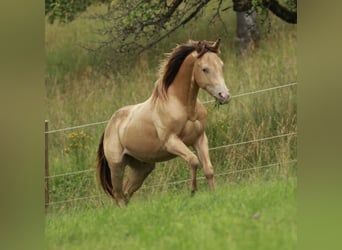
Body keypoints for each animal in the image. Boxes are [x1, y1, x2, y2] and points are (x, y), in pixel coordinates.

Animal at [95, 39, 230, 207]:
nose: (224, 96)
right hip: (117, 167)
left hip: (142, 167)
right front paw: (193, 191)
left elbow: (209, 170)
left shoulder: (199, 139)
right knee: (118, 195)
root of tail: (109, 127)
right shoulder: (171, 142)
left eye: (221, 65)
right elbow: (193, 161)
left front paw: (213, 195)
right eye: (205, 69)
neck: (184, 106)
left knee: (126, 193)